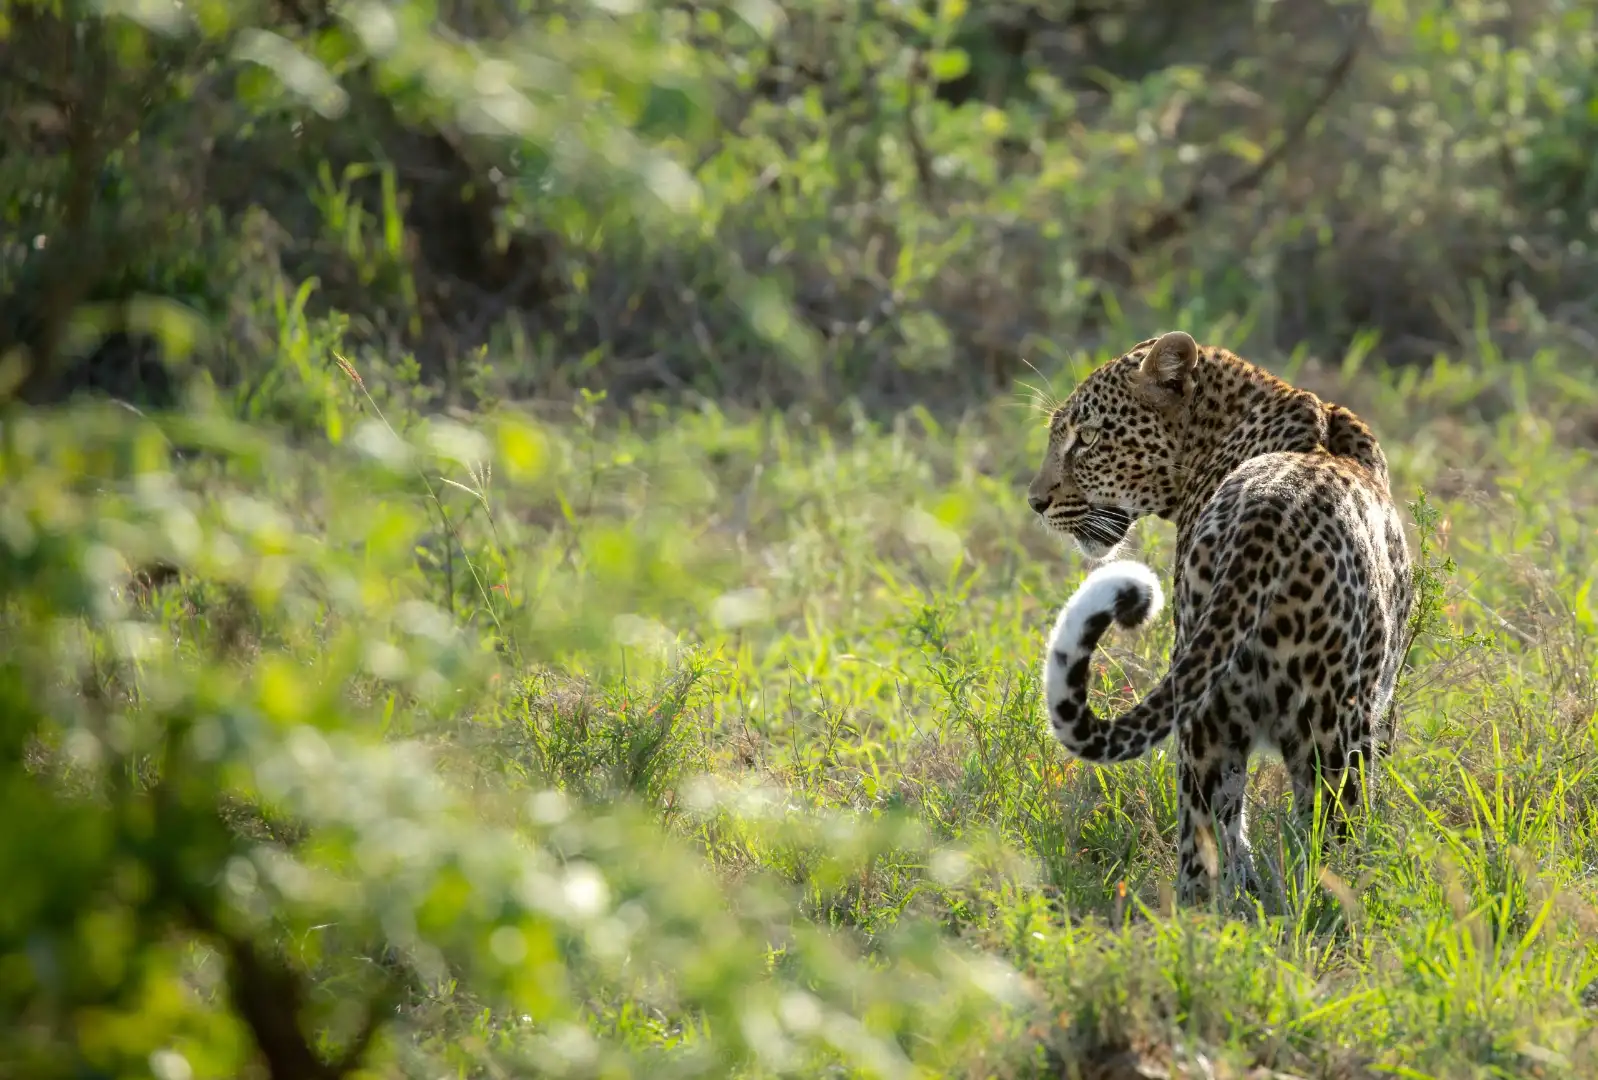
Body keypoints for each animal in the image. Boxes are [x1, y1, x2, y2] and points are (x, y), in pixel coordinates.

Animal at [1025, 330, 1414, 906]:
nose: (1035, 501)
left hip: (1216, 716)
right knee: (1318, 845)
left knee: (1206, 853)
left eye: (1088, 438)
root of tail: (1270, 515)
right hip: (1325, 725)